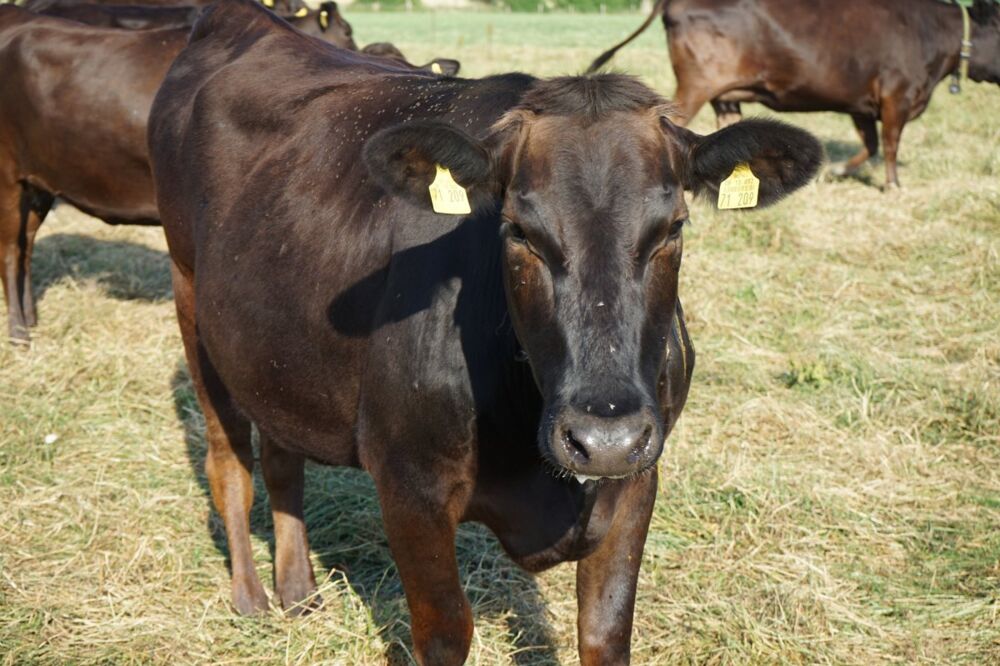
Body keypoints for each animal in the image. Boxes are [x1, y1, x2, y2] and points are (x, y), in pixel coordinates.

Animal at [148, 1, 820, 660]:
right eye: (519, 228)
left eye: (674, 226)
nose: (602, 439)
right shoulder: (409, 485)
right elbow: (445, 632)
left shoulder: (638, 477)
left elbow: (605, 633)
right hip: (191, 301)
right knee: (228, 461)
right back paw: (250, 597)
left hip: (271, 344)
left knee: (283, 453)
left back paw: (299, 591)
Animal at [588, 0, 1000, 187]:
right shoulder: (896, 96)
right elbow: (890, 144)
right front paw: (893, 185)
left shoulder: (862, 104)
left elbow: (870, 143)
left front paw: (834, 171)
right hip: (696, 85)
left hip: (726, 94)